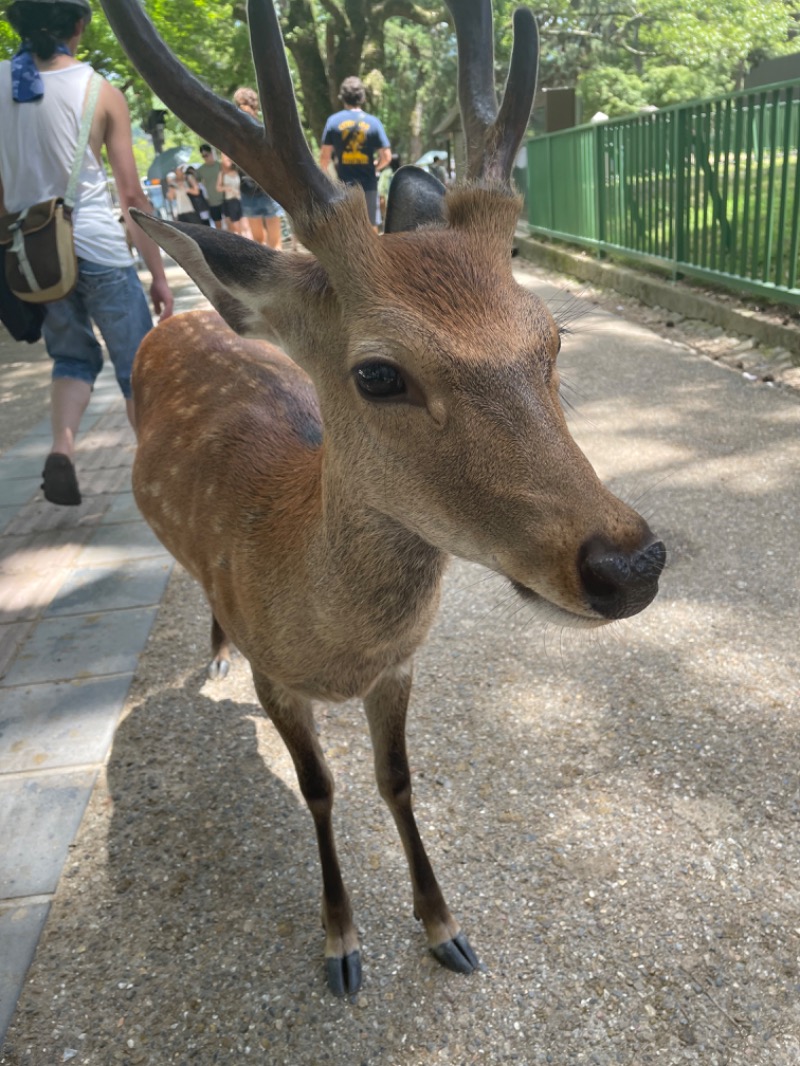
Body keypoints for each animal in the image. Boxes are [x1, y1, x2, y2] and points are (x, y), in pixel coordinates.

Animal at [98, 0, 665, 997]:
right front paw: (340, 944)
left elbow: (397, 781)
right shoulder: (280, 677)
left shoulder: (401, 666)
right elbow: (318, 788)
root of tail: (186, 312)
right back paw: (213, 654)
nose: (629, 562)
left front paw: (444, 928)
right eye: (376, 373)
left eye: (552, 338)